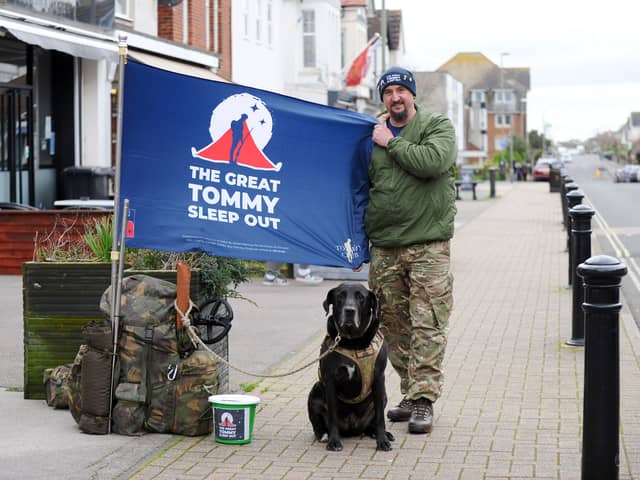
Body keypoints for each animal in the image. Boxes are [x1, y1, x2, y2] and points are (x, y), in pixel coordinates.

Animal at [306, 282, 392, 450]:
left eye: (361, 297)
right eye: (340, 296)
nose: (349, 310)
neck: (353, 342)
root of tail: (353, 428)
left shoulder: (379, 378)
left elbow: (380, 417)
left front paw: (382, 440)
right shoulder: (330, 380)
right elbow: (332, 416)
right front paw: (334, 441)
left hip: (384, 395)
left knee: (372, 423)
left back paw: (380, 433)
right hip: (315, 392)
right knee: (318, 425)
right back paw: (324, 435)